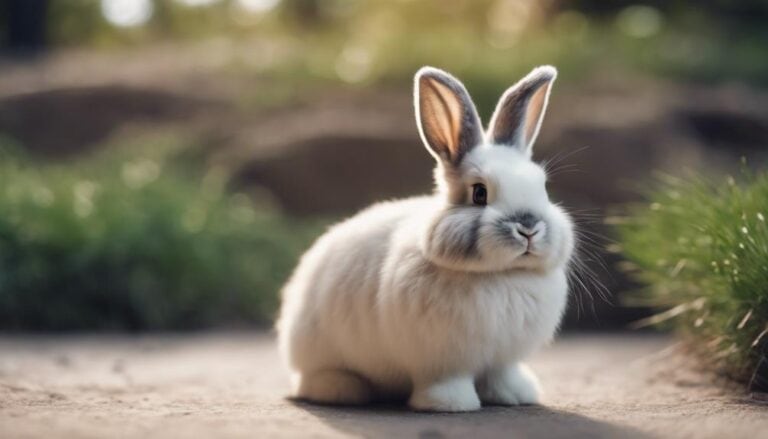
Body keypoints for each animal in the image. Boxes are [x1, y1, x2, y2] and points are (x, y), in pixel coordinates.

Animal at [276, 65, 574, 412]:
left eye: (543, 187)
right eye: (479, 193)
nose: (528, 228)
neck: (500, 275)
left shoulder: (503, 359)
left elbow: (501, 376)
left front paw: (516, 395)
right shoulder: (441, 361)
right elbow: (447, 382)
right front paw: (451, 405)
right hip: (317, 350)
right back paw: (342, 390)